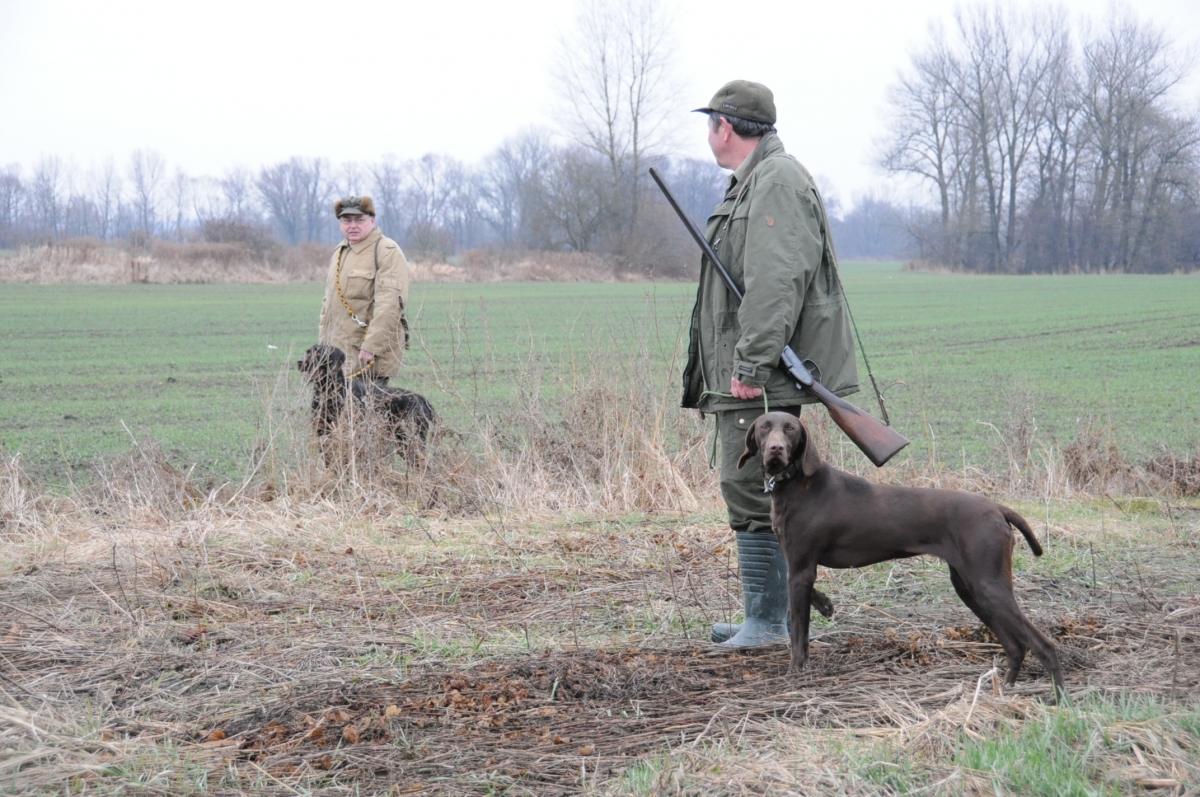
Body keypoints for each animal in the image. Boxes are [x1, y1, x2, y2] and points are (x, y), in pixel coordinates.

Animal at [296, 343, 436, 468]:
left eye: (319, 353)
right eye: (308, 352)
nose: (300, 362)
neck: (328, 392)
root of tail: (422, 399)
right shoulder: (323, 435)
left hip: (411, 440)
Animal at [739, 412, 1070, 700]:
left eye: (790, 429)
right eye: (764, 427)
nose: (776, 449)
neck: (797, 484)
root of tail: (997, 508)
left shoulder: (801, 568)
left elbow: (798, 633)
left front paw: (794, 672)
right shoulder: (800, 568)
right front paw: (825, 605)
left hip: (988, 585)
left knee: (1044, 645)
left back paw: (1059, 699)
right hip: (971, 588)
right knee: (1016, 646)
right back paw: (1003, 691)